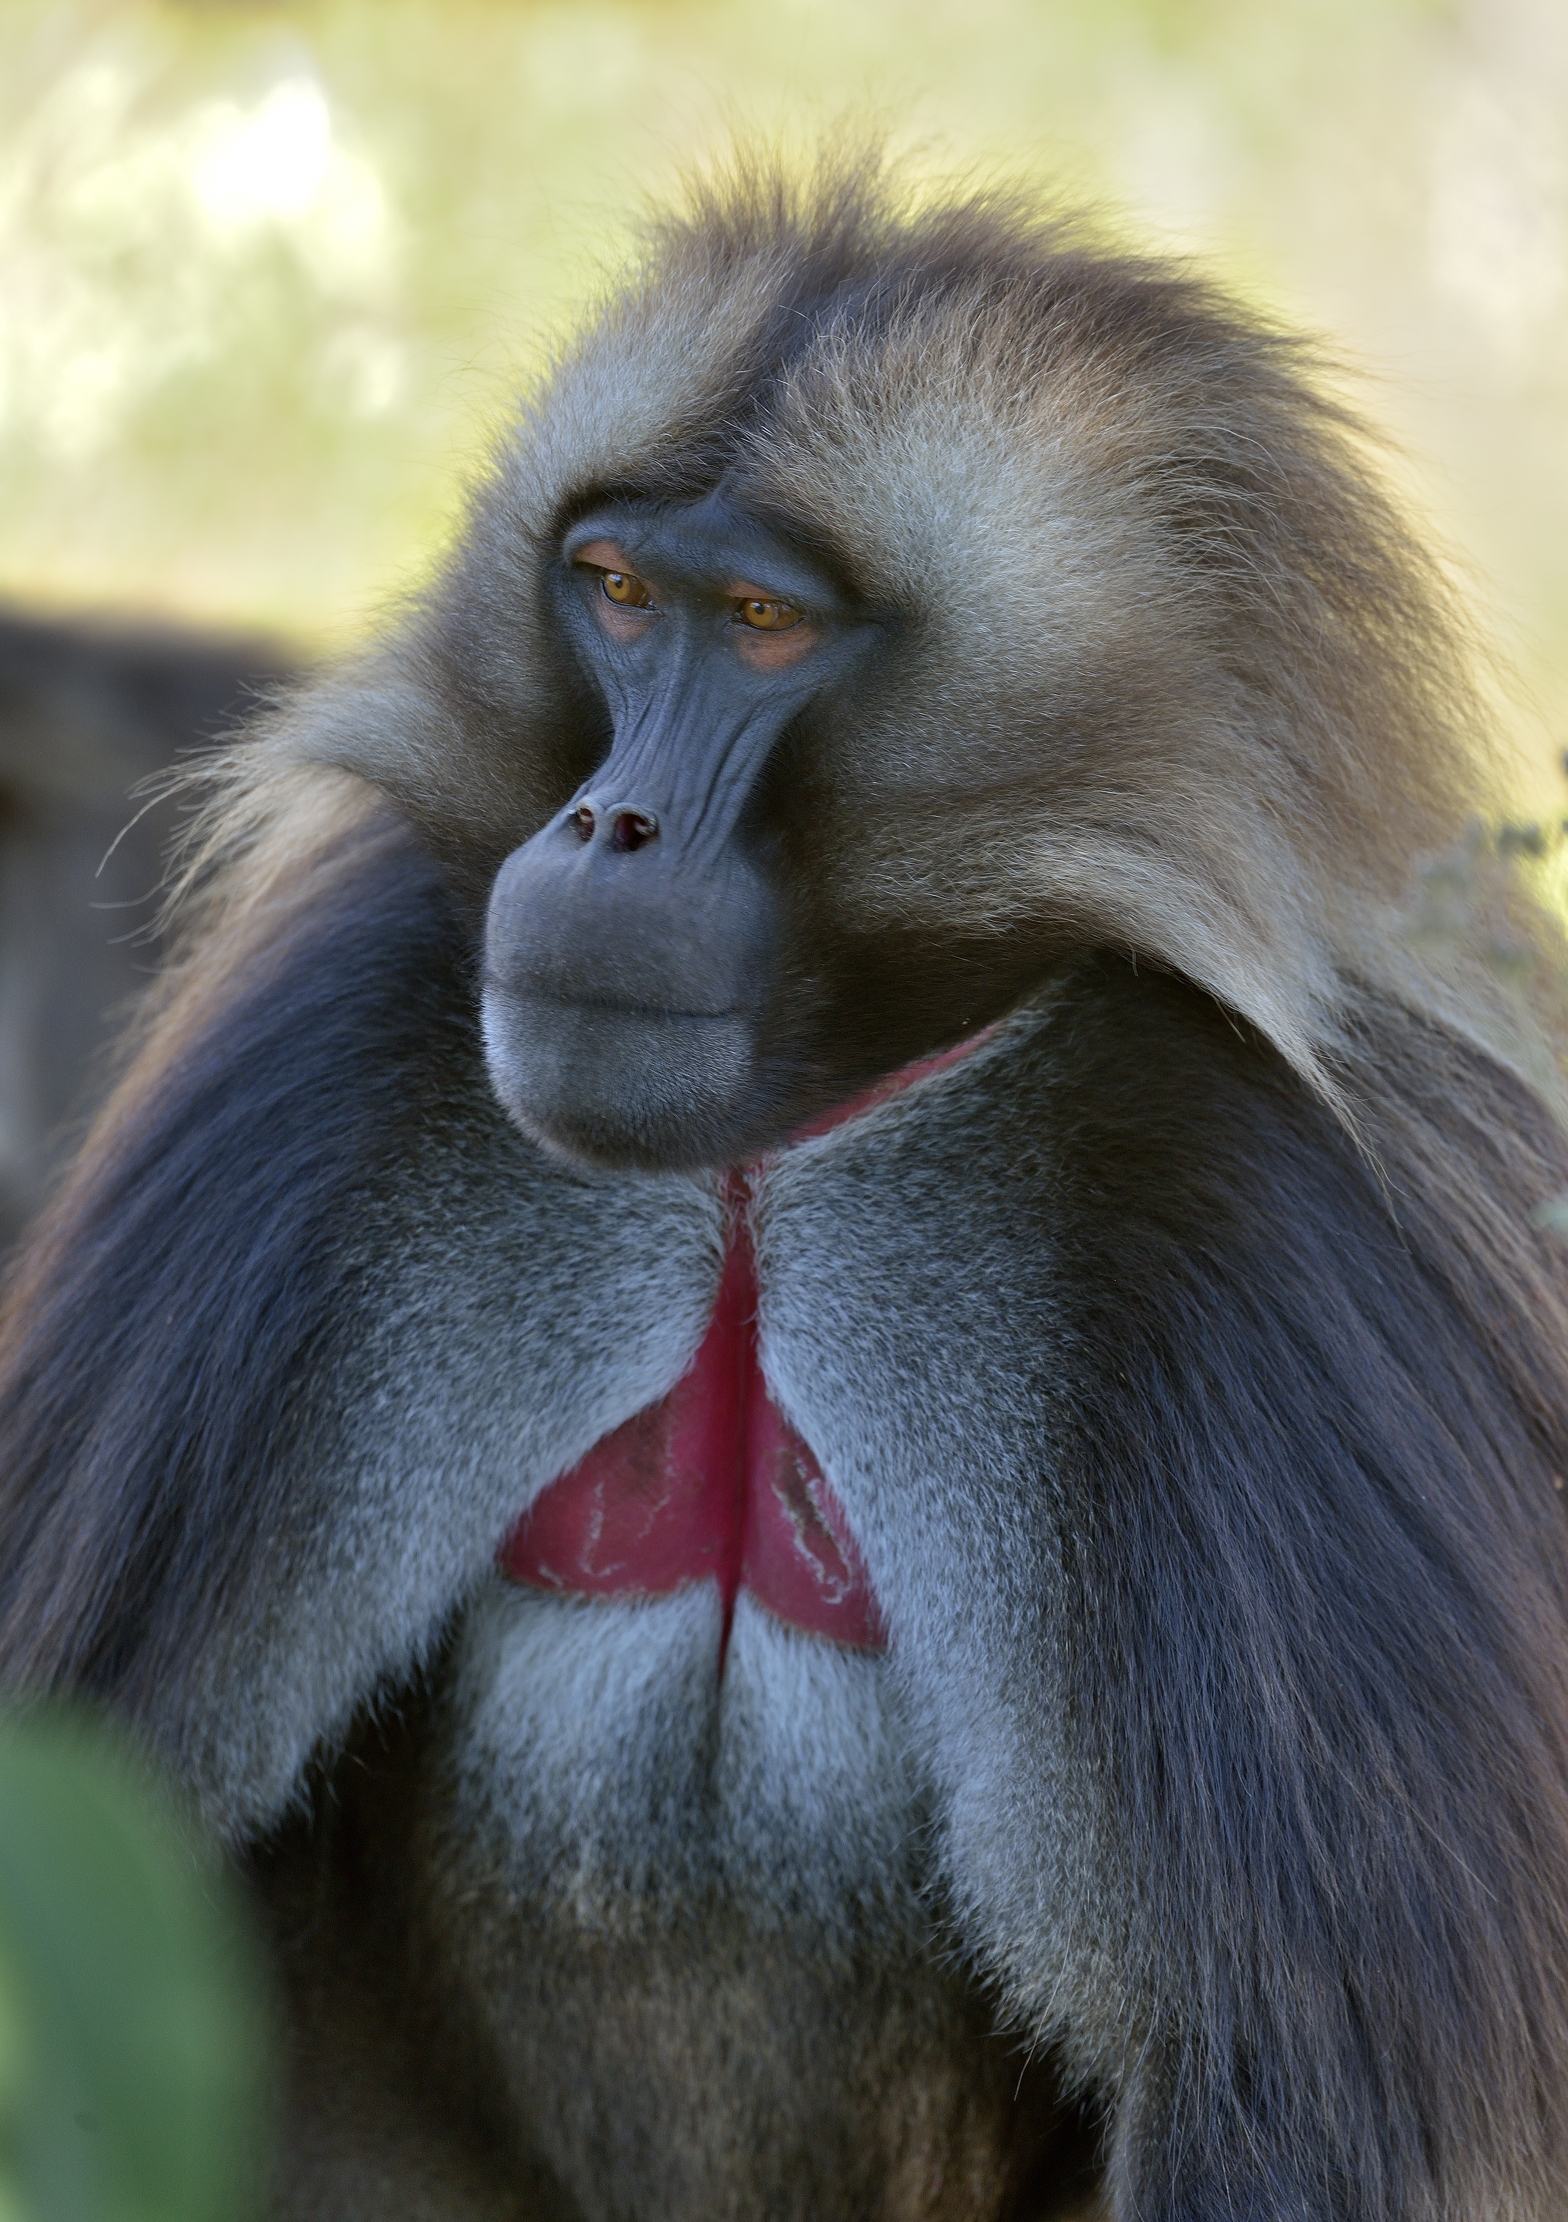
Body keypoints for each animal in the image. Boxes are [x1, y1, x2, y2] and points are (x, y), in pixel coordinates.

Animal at [2, 150, 1568, 2221]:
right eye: (611, 591)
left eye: (759, 621)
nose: (605, 827)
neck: (771, 1153)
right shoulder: (326, 1056)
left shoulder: (1250, 1232)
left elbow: (1305, 2114)